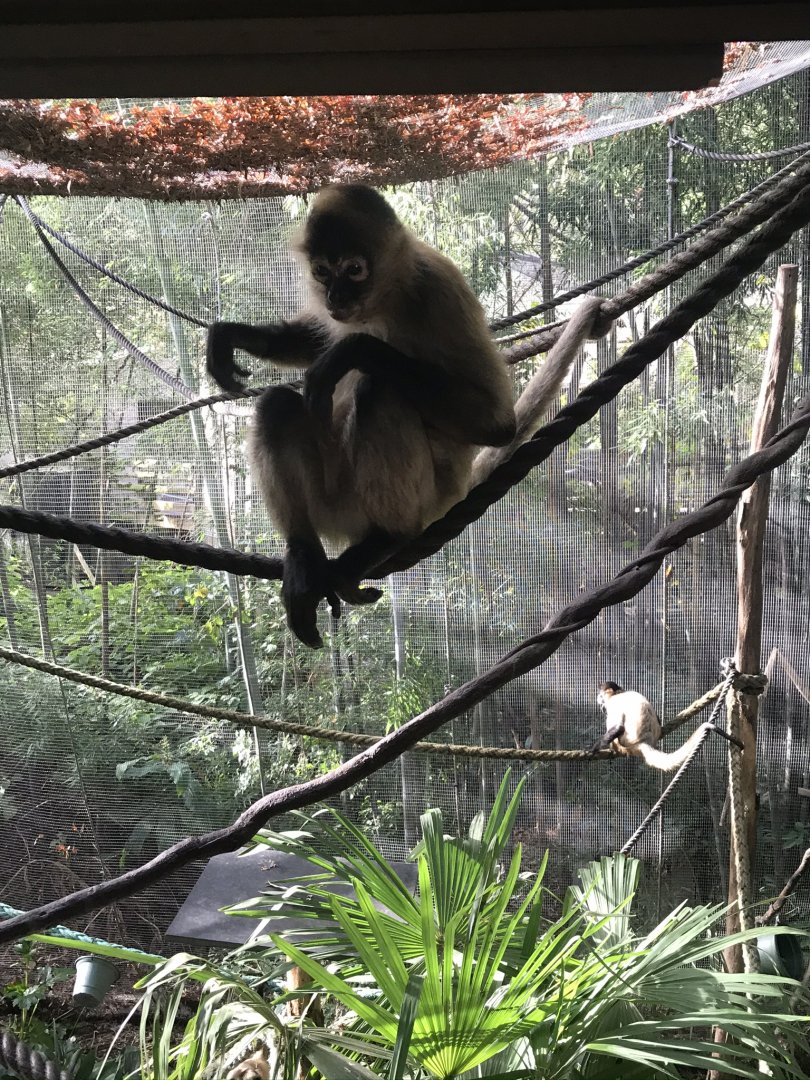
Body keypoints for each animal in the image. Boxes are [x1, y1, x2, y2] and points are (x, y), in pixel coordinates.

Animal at [207, 183, 586, 648]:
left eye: (354, 270)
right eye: (322, 272)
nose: (335, 297)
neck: (389, 297)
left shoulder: (439, 289)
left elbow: (497, 423)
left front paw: (354, 350)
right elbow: (317, 339)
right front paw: (235, 335)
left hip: (417, 496)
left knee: (379, 389)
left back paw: (387, 537)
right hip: (334, 500)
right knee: (276, 406)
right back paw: (304, 557)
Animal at [589, 682, 740, 771]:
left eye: (601, 698)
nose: (600, 702)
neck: (621, 693)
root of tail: (644, 742)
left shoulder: (614, 703)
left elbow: (618, 727)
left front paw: (593, 749)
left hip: (624, 743)